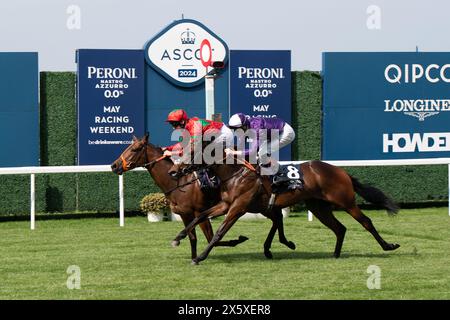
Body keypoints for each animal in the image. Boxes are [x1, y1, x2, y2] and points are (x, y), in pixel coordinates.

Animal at [110, 133, 248, 260]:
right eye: (128, 147)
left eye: (135, 149)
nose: (114, 165)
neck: (179, 182)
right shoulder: (184, 214)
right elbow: (193, 237)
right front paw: (192, 256)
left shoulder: (200, 212)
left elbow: (210, 238)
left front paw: (238, 240)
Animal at [173, 158, 400, 264]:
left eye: (192, 151)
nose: (174, 171)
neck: (236, 173)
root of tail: (341, 171)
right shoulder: (227, 204)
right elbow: (201, 216)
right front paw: (178, 236)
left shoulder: (238, 208)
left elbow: (219, 232)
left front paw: (199, 257)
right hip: (318, 207)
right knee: (340, 228)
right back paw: (335, 254)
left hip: (346, 202)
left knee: (366, 222)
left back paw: (388, 245)